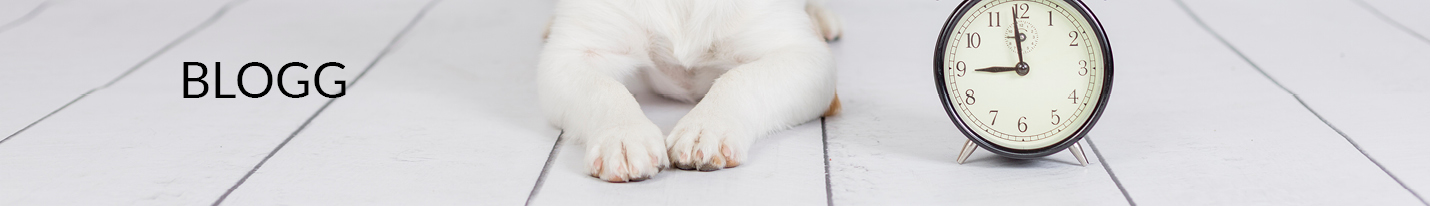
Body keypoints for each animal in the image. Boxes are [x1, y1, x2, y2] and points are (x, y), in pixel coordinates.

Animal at [540, 0, 840, 181]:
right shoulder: (568, 56)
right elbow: (607, 90)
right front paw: (624, 136)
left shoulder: (805, 56)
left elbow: (739, 78)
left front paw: (707, 126)